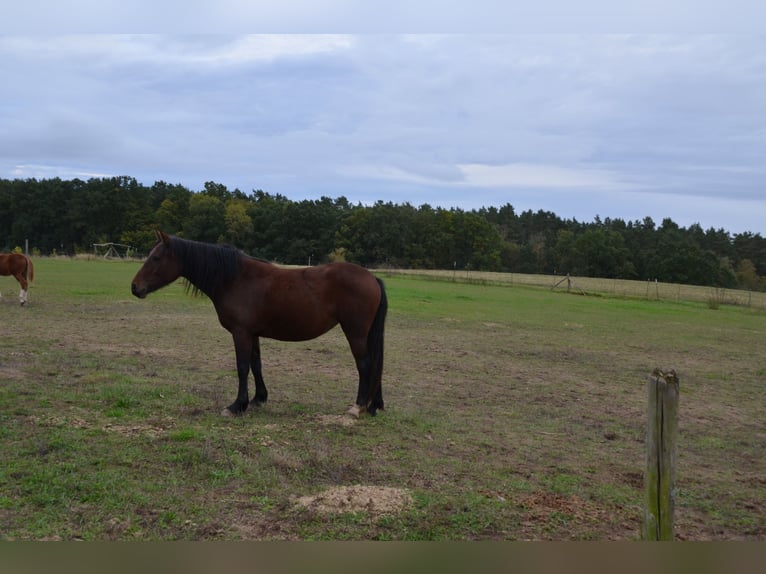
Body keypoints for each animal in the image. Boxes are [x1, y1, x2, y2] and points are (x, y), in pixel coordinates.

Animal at [131, 231, 387, 418]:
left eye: (155, 258)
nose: (135, 287)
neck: (235, 278)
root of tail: (372, 277)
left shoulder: (240, 333)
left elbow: (242, 367)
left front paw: (236, 406)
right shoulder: (252, 333)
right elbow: (256, 364)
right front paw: (258, 399)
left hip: (355, 332)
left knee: (365, 364)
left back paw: (357, 407)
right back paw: (373, 405)